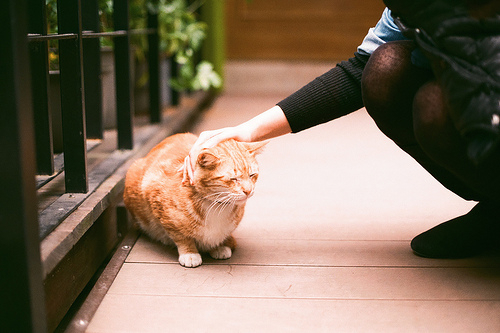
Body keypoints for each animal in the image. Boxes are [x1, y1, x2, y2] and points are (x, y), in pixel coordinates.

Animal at [124, 132, 266, 268]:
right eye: (233, 179)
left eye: (252, 175)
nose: (248, 191)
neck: (216, 205)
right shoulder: (158, 201)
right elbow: (181, 237)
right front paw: (189, 253)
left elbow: (219, 236)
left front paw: (219, 245)